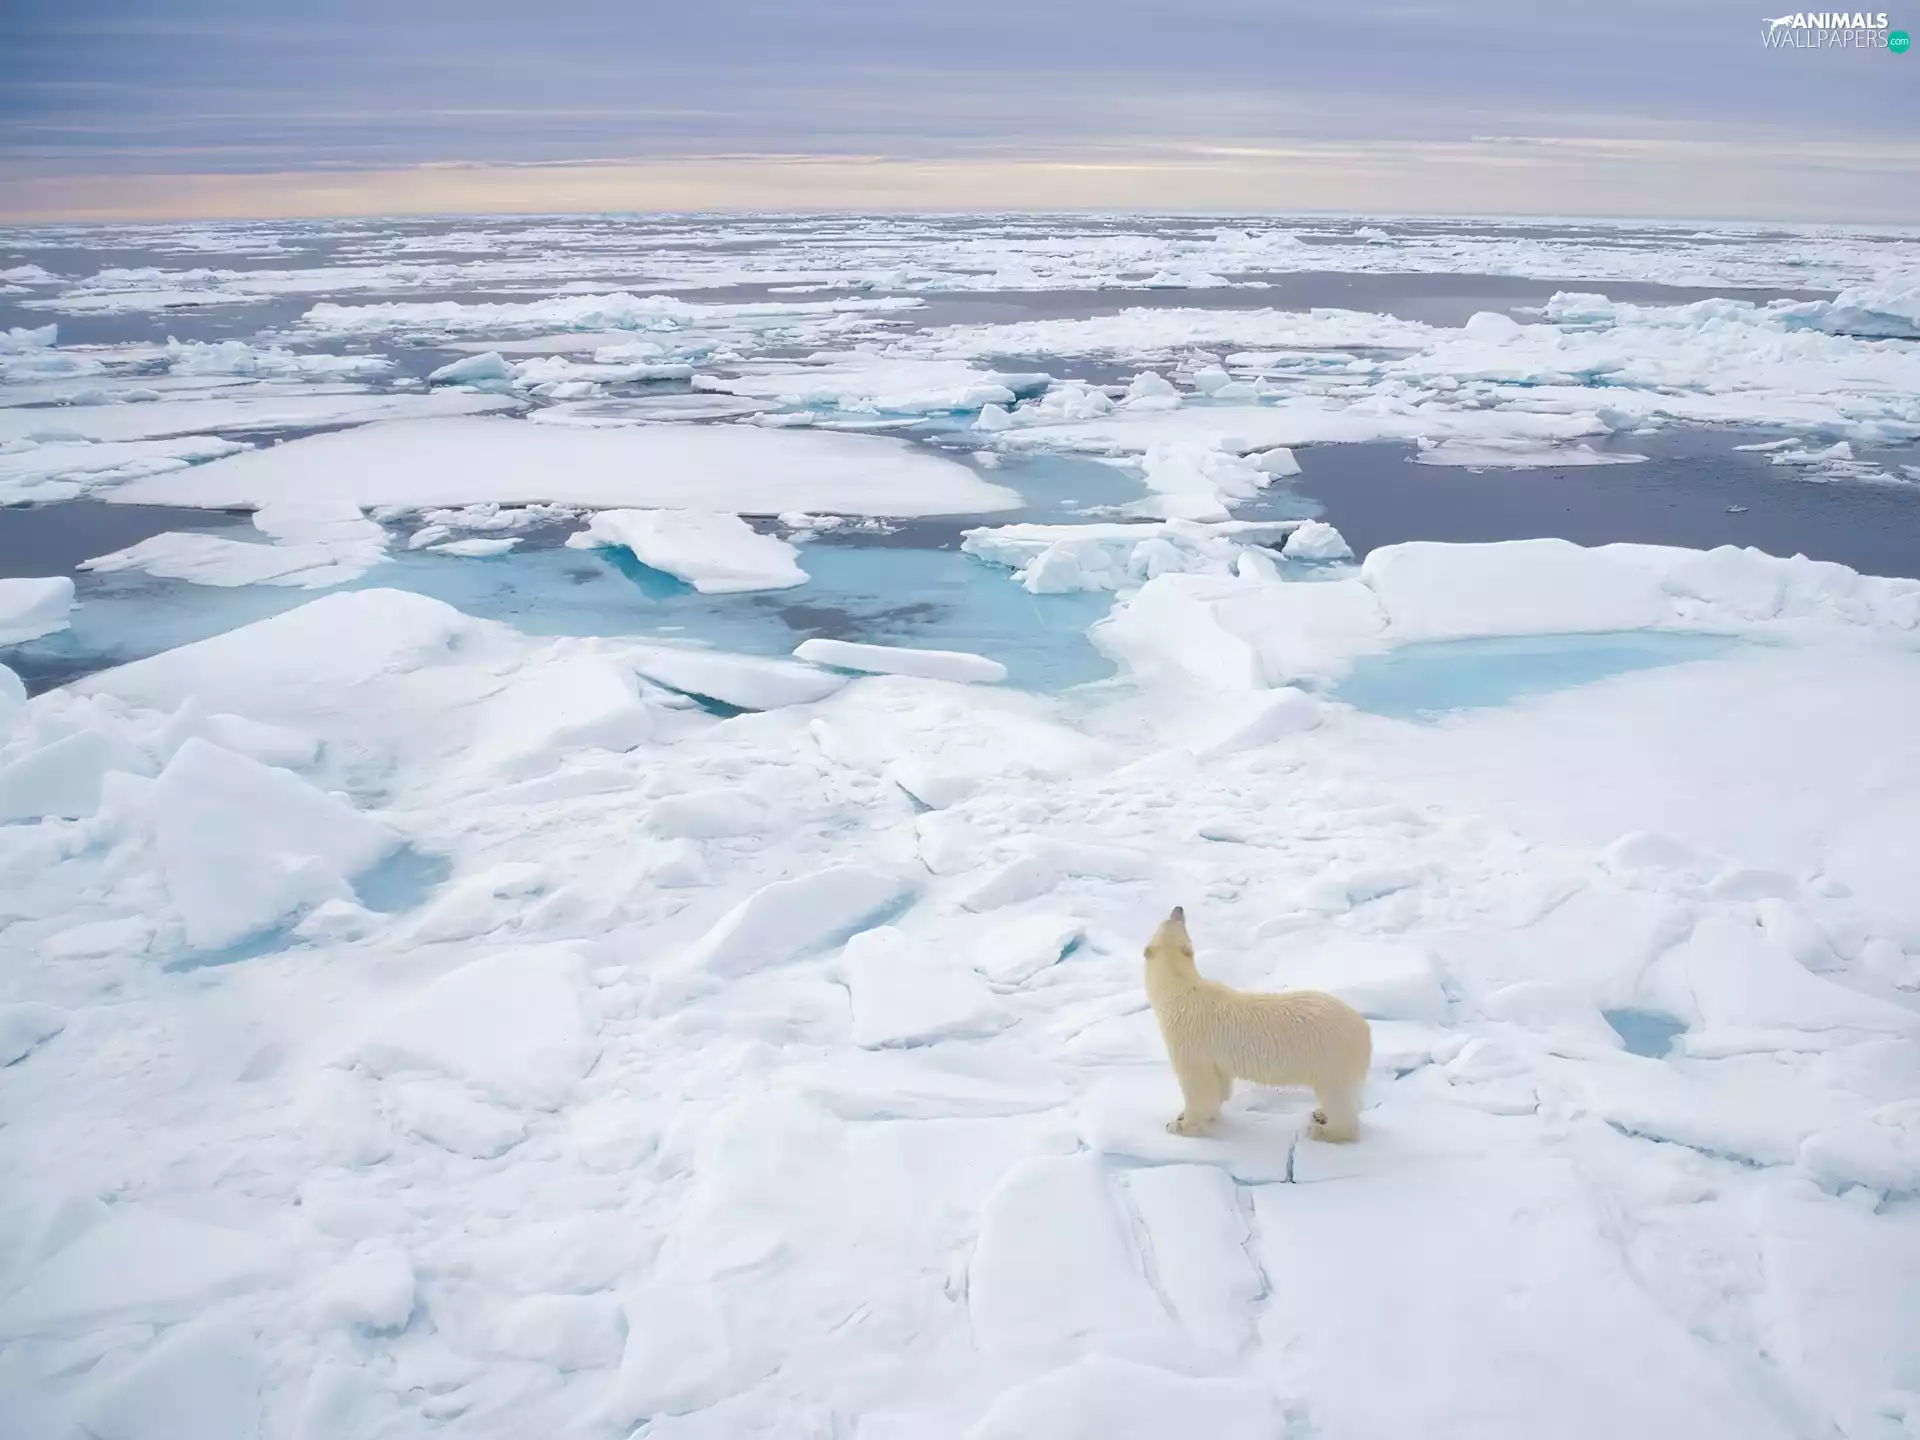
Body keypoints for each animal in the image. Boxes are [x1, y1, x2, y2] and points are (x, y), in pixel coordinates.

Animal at [1143, 905, 1372, 1142]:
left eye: (1172, 921)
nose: (1178, 909)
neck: (1180, 992)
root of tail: (1364, 1029)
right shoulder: (1216, 1059)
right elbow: (1219, 1086)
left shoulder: (1189, 1040)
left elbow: (1199, 1088)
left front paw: (1179, 1125)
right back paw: (1320, 1114)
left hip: (1331, 1058)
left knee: (1337, 1097)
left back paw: (1321, 1129)